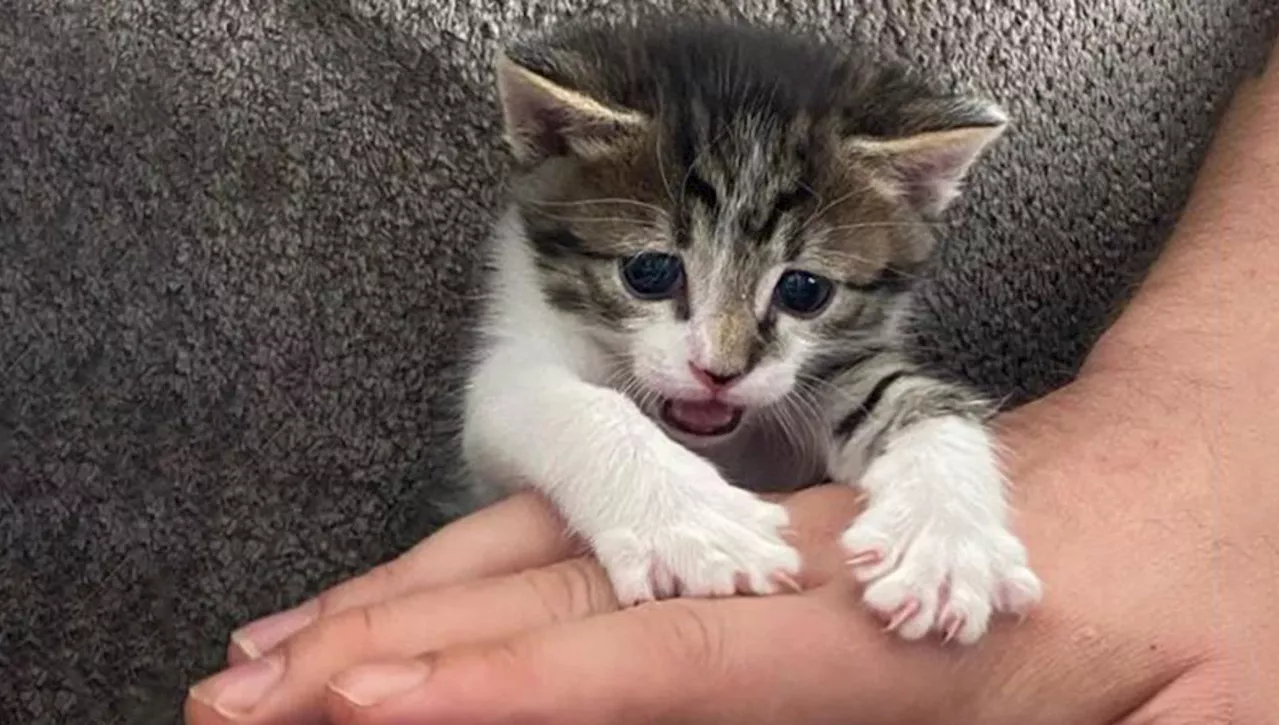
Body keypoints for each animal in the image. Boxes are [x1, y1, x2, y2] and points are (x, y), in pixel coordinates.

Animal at [465, 15, 1044, 648]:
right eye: (649, 272)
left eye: (804, 290)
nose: (718, 372)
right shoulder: (507, 377)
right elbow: (557, 403)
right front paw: (695, 527)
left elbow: (915, 397)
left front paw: (946, 539)